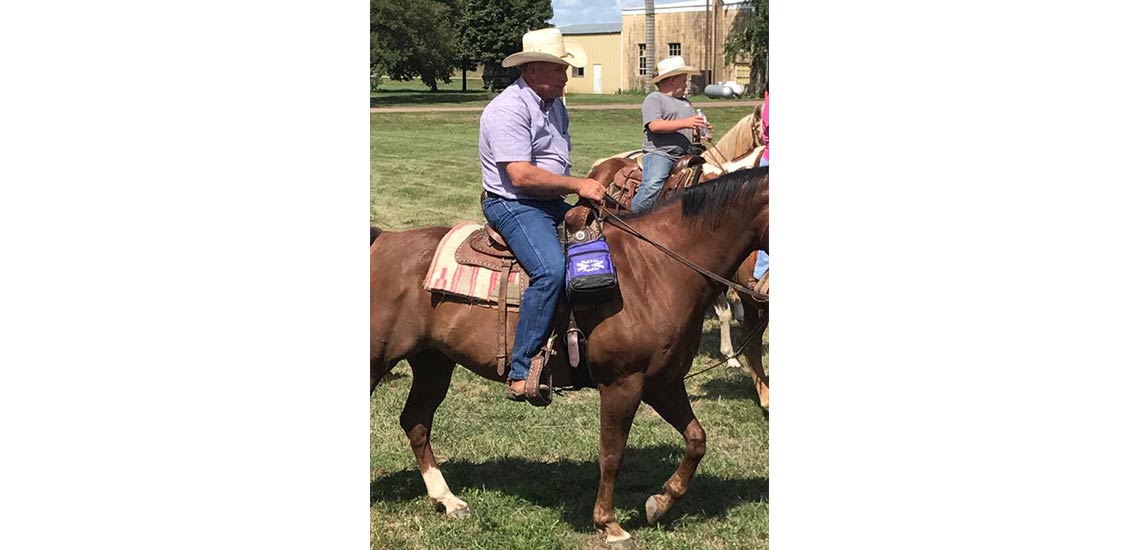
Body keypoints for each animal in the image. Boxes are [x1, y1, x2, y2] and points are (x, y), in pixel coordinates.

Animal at [371, 167, 766, 545]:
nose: (757, 287)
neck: (655, 269)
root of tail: (382, 240)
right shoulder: (622, 383)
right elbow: (612, 454)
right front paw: (609, 524)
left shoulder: (662, 383)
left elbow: (697, 440)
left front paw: (660, 502)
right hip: (379, 359)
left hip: (433, 362)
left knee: (416, 421)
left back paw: (448, 500)